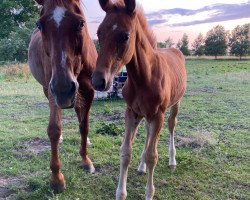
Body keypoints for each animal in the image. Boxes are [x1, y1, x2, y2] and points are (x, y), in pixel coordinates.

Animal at [28, 0, 96, 194]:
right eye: (39, 24)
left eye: (81, 23)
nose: (64, 89)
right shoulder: (53, 93)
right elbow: (54, 129)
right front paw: (56, 179)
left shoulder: (89, 91)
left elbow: (84, 126)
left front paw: (86, 160)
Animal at [93, 0, 187, 199]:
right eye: (99, 32)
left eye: (125, 36)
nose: (98, 81)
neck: (144, 77)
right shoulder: (132, 112)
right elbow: (125, 152)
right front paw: (121, 193)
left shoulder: (158, 115)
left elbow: (153, 155)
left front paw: (149, 193)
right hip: (145, 114)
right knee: (148, 132)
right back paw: (141, 167)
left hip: (175, 104)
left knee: (171, 126)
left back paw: (172, 161)